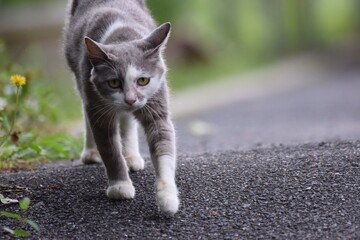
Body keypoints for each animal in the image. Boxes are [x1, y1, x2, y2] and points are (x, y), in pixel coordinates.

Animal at [64, 0, 180, 215]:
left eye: (143, 80)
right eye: (113, 83)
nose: (130, 100)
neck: (122, 36)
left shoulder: (157, 106)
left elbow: (164, 150)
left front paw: (168, 198)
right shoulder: (98, 110)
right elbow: (110, 151)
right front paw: (120, 187)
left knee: (127, 121)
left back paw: (132, 157)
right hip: (80, 79)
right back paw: (91, 153)